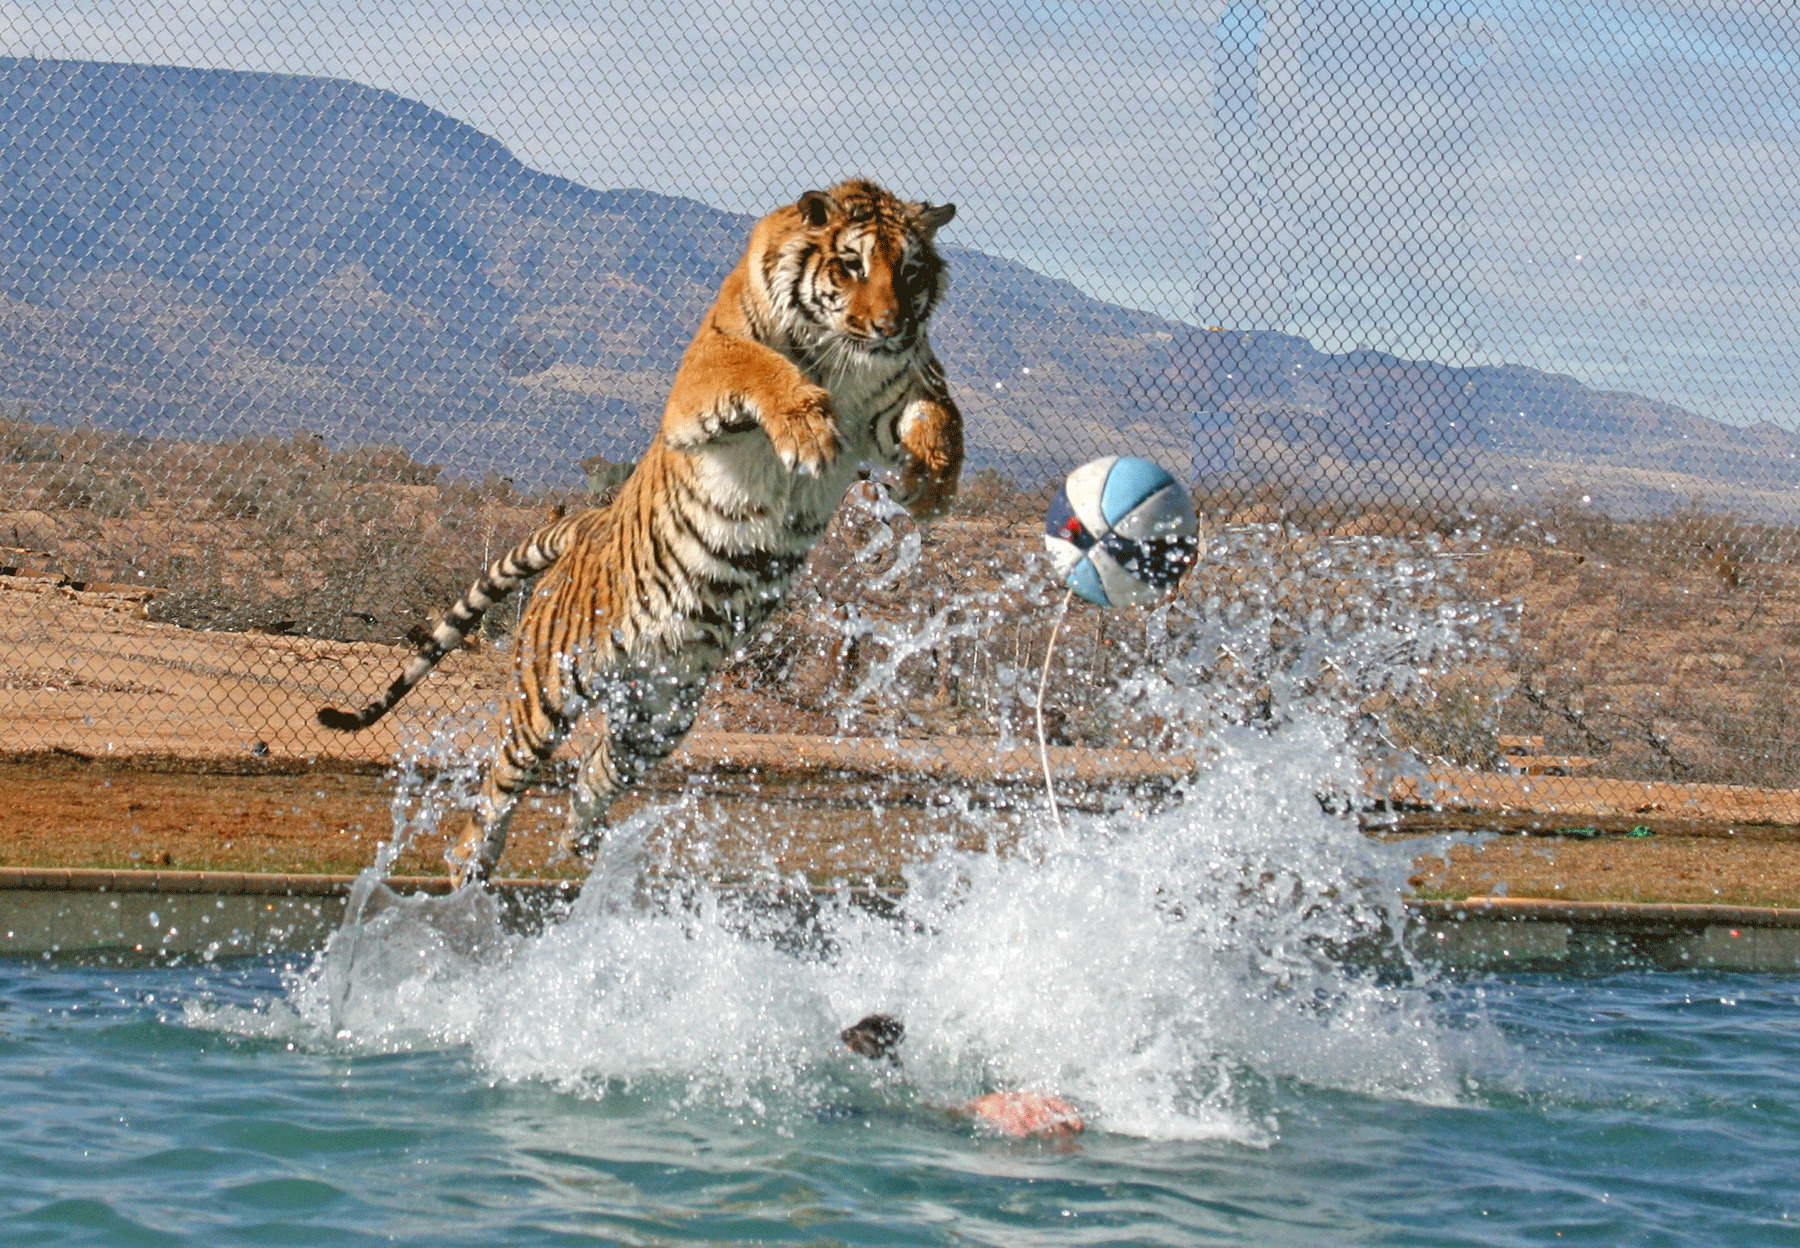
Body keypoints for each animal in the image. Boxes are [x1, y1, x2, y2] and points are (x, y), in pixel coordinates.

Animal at [318, 179, 963, 886]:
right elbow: (759, 366)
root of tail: (586, 523)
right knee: (496, 793)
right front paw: (807, 428)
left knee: (596, 772)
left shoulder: (904, 385)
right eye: (851, 266)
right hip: (549, 688)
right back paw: (472, 874)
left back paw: (588, 844)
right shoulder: (706, 375)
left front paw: (933, 482)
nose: (891, 325)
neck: (844, 361)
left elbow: (941, 416)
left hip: (661, 710)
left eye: (911, 272)